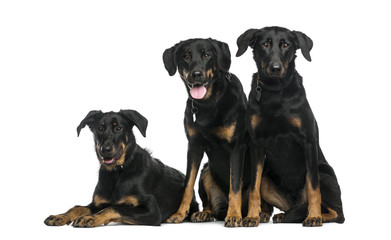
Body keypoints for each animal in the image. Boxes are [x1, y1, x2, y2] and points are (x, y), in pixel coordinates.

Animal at [45, 109, 199, 226]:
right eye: (99, 128)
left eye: (118, 128)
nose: (105, 150)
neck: (117, 172)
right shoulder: (97, 203)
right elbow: (77, 208)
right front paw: (60, 216)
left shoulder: (152, 211)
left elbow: (114, 207)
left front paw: (91, 218)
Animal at [163, 38, 250, 227]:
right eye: (185, 56)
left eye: (206, 55)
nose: (196, 74)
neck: (208, 103)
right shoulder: (194, 146)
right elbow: (187, 185)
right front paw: (179, 214)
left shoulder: (237, 147)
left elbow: (235, 185)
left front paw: (234, 216)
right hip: (206, 171)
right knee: (210, 203)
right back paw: (204, 214)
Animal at [237, 26, 344, 227]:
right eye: (265, 44)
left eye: (286, 45)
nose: (275, 68)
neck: (275, 91)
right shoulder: (256, 144)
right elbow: (254, 188)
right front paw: (252, 216)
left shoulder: (308, 141)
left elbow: (313, 188)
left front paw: (314, 216)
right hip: (267, 180)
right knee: (289, 206)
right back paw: (280, 215)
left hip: (325, 174)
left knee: (337, 213)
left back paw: (314, 216)